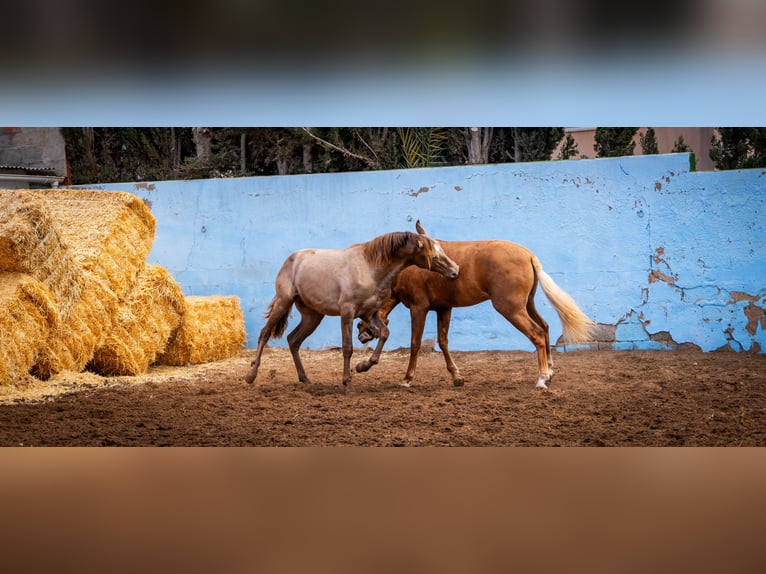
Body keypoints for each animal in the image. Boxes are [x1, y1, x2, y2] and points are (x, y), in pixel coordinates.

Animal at [248, 223, 462, 394]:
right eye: (433, 255)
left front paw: (363, 366)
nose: (455, 270)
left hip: (313, 316)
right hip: (283, 302)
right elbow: (348, 347)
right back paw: (251, 375)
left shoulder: (370, 313)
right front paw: (347, 383)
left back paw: (305, 379)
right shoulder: (347, 312)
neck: (370, 270)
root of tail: (292, 259)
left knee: (293, 340)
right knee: (265, 333)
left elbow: (384, 333)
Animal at [358, 234, 592, 392]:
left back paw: (542, 379)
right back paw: (549, 371)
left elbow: (415, 344)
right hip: (527, 305)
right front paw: (456, 377)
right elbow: (443, 342)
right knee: (544, 327)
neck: (408, 267)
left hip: (511, 309)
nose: (361, 337)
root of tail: (529, 256)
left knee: (537, 334)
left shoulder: (419, 308)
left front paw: (407, 379)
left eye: (360, 322)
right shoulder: (444, 308)